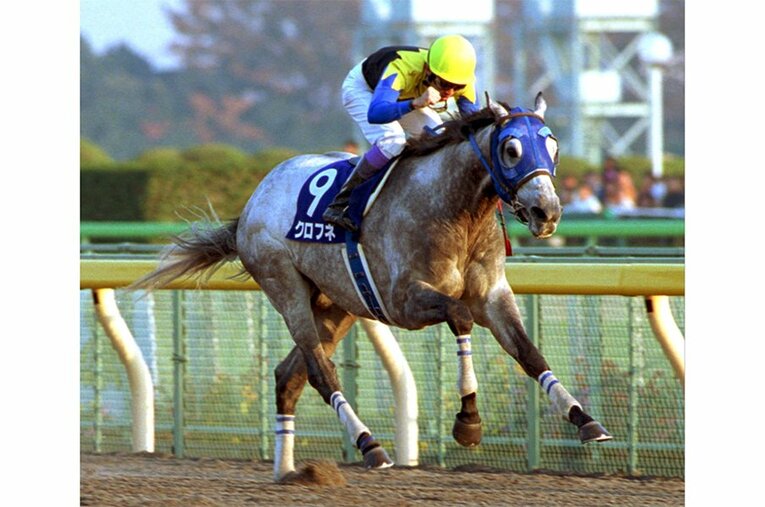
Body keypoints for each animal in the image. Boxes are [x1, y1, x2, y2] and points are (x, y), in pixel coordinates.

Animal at [133, 93, 612, 481]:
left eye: (552, 145)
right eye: (512, 148)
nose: (547, 211)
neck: (455, 211)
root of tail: (254, 200)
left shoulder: (493, 296)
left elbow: (529, 353)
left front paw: (583, 417)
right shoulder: (404, 301)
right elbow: (459, 317)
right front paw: (468, 422)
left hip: (337, 304)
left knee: (288, 375)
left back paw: (288, 471)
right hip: (285, 286)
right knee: (319, 371)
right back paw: (369, 445)